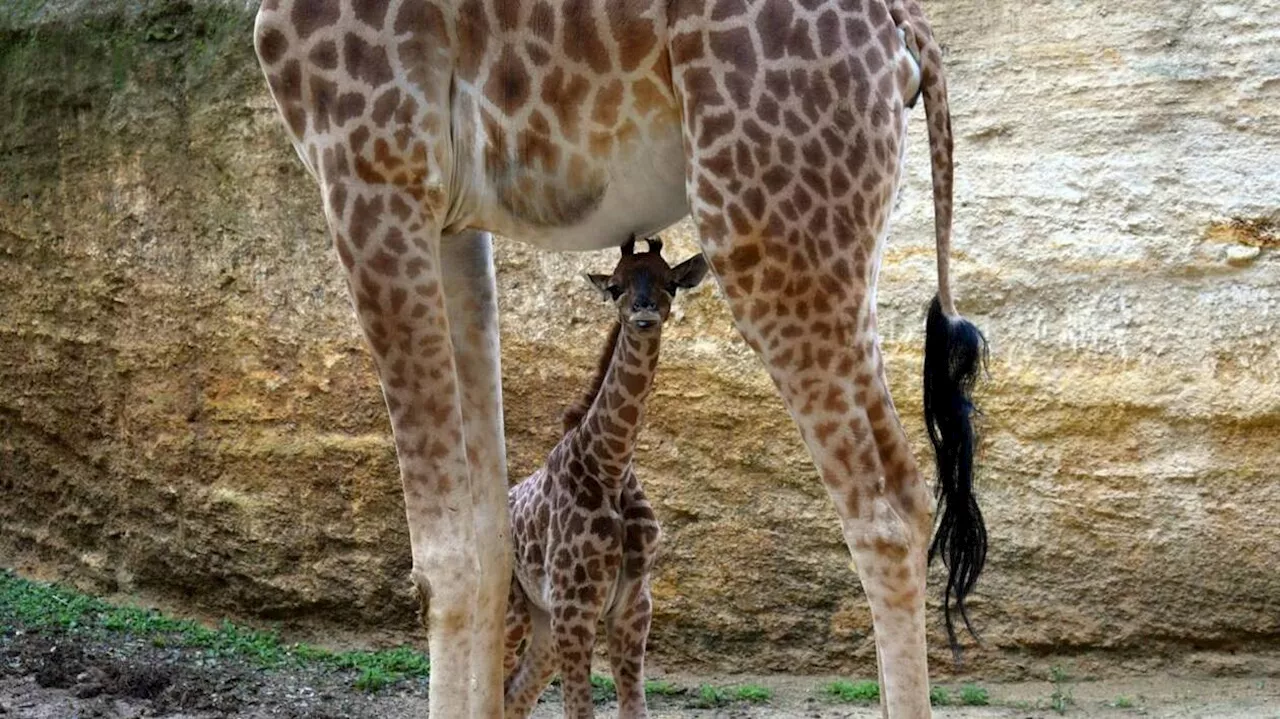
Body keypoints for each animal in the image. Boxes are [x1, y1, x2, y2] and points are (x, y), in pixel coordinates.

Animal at [501, 236, 706, 716]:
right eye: (615, 287)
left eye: (671, 282)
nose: (644, 313)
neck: (610, 466)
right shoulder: (575, 608)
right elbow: (580, 709)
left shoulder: (633, 608)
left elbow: (635, 708)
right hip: (514, 613)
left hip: (543, 623)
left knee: (513, 696)